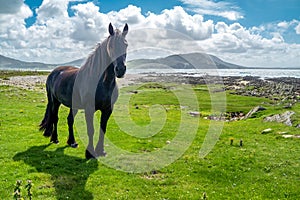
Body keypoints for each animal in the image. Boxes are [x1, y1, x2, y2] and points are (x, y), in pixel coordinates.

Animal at [39, 22, 127, 159]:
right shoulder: (89, 109)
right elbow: (91, 130)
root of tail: (54, 72)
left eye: (126, 45)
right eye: (111, 46)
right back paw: (55, 138)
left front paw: (101, 150)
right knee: (54, 117)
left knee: (69, 120)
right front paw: (90, 153)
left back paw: (72, 142)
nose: (120, 69)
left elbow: (103, 128)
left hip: (73, 104)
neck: (102, 83)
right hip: (55, 102)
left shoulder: (108, 109)